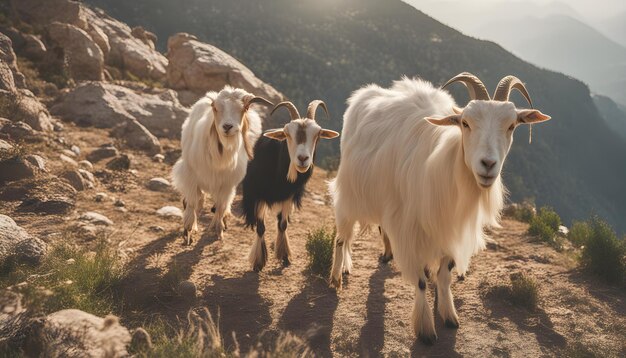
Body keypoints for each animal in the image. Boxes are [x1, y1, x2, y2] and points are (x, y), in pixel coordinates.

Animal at [171, 86, 270, 246]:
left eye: (244, 108)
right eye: (216, 108)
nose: (227, 126)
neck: (220, 158)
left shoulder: (227, 185)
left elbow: (221, 206)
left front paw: (219, 230)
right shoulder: (190, 177)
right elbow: (191, 204)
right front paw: (188, 234)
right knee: (196, 202)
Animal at [241, 100, 338, 272]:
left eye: (318, 134)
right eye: (287, 133)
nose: (303, 159)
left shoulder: (288, 196)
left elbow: (283, 224)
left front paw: (284, 256)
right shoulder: (257, 195)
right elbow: (261, 227)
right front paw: (258, 262)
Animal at [330, 73, 548, 344]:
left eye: (512, 125)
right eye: (465, 123)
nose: (488, 164)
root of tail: (364, 94)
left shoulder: (451, 230)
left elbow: (445, 275)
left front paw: (449, 315)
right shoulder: (410, 228)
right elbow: (421, 282)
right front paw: (425, 328)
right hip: (349, 192)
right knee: (342, 237)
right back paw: (337, 276)